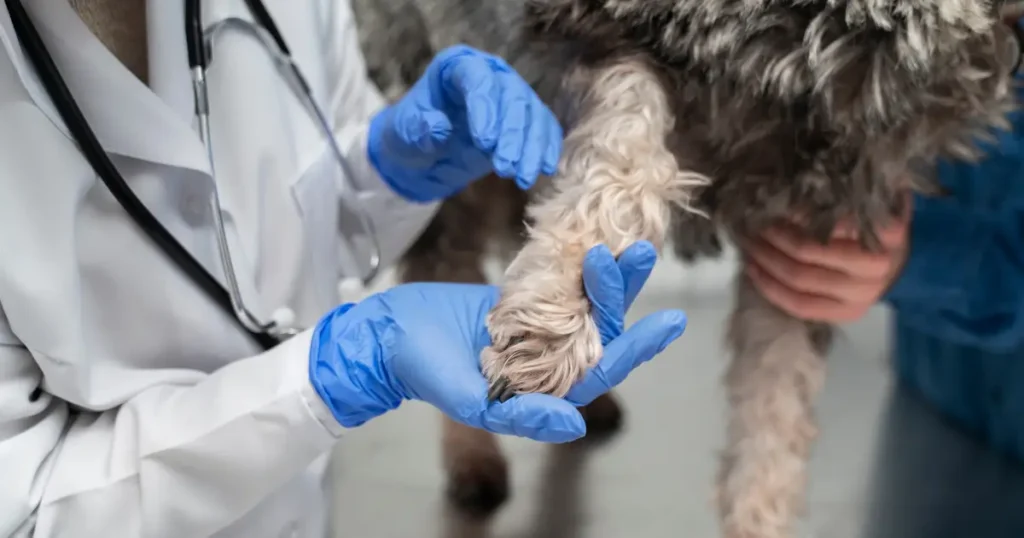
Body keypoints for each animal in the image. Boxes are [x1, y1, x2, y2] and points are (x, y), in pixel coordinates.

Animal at [354, 1, 1024, 532]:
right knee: (444, 256)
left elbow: (774, 403)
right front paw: (555, 321)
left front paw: (758, 517)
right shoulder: (596, 33)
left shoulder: (829, 197)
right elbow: (624, 163)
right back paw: (473, 456)